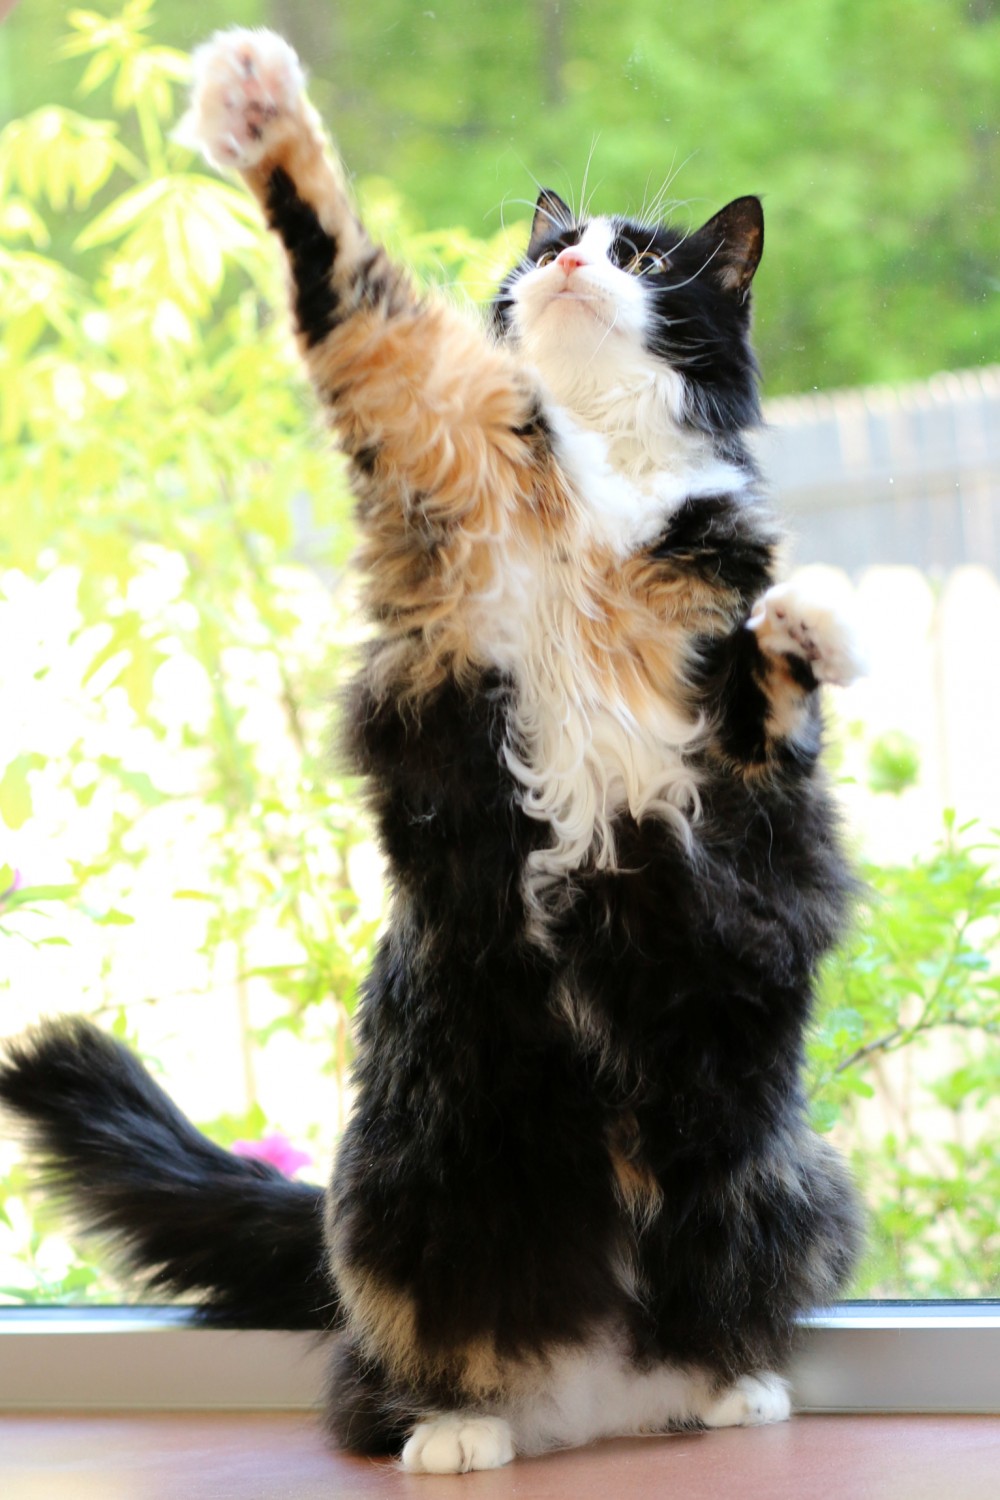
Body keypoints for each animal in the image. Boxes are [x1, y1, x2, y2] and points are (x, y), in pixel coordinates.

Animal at [0, 26, 869, 1476]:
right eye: (555, 243)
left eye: (644, 259)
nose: (566, 263)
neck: (601, 485)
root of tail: (595, 1395)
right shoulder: (434, 454)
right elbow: (353, 289)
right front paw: (260, 110)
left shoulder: (737, 790)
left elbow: (774, 696)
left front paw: (811, 623)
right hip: (406, 1201)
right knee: (382, 1380)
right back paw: (462, 1430)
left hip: (792, 1182)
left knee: (716, 1325)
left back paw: (725, 1388)